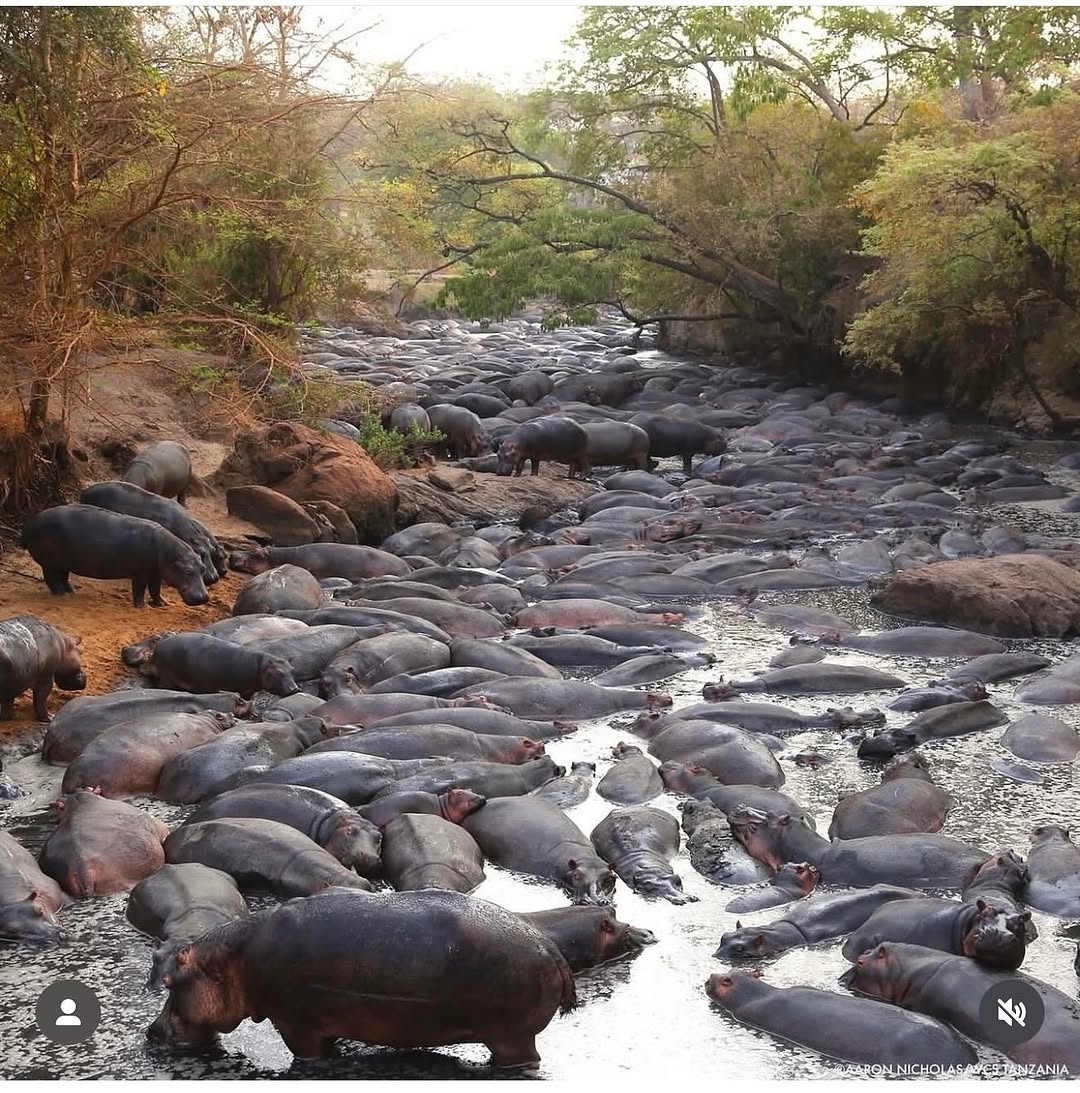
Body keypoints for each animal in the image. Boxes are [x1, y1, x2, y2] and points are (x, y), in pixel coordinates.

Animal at [21, 504, 209, 607]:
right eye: (187, 571)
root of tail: (29, 524)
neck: (168, 552)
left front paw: (162, 604)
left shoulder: (156, 572)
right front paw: (142, 607)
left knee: (63, 578)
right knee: (52, 580)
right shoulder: (141, 573)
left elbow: (155, 589)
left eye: (202, 568)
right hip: (49, 563)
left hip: (62, 563)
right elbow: (139, 589)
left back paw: (71, 593)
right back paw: (63, 596)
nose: (204, 597)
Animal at [147, 888, 574, 1067]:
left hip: (512, 1038)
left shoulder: (295, 1025)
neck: (230, 958)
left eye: (171, 982)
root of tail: (550, 949)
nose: (151, 1032)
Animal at [148, 633, 300, 699]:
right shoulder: (245, 689)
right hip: (167, 677)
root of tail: (159, 646)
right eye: (279, 672)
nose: (295, 689)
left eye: (292, 670)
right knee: (162, 686)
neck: (261, 665)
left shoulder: (250, 689)